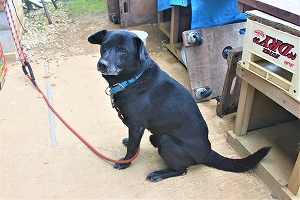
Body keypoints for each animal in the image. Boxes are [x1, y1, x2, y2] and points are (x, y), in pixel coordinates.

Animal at [88, 29, 270, 181]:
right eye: (105, 46)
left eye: (123, 51)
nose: (102, 64)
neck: (134, 79)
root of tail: (207, 153)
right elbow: (133, 143)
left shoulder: (136, 125)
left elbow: (133, 148)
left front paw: (125, 162)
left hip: (166, 140)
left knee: (182, 170)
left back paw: (159, 174)